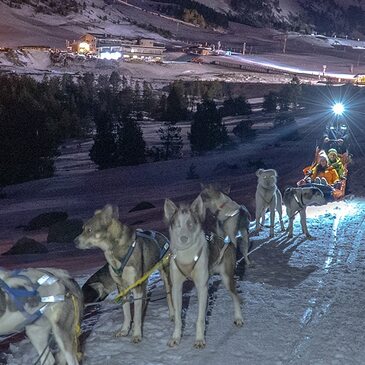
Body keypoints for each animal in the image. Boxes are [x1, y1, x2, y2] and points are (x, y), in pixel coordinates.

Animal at [74, 205, 173, 342]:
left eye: (89, 230)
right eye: (83, 229)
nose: (74, 241)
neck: (114, 253)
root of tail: (162, 236)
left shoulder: (136, 286)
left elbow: (136, 315)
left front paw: (136, 335)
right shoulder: (122, 288)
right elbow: (127, 313)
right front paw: (124, 331)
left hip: (165, 276)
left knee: (169, 297)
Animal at [164, 195, 243, 348]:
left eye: (190, 224)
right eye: (177, 224)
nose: (183, 238)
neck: (187, 255)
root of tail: (225, 239)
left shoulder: (202, 287)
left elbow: (200, 319)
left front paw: (200, 339)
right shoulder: (176, 287)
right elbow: (178, 318)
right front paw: (176, 337)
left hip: (227, 278)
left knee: (236, 296)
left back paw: (238, 318)